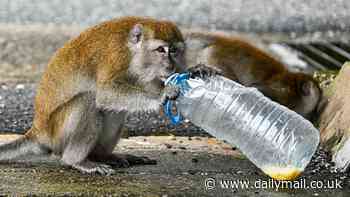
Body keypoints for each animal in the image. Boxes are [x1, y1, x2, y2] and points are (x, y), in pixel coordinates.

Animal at [0, 16, 217, 175]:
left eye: (174, 50)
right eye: (161, 50)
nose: (171, 65)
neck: (132, 49)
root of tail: (38, 131)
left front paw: (195, 70)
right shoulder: (116, 55)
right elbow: (105, 93)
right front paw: (164, 94)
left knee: (114, 111)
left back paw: (102, 155)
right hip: (57, 133)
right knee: (89, 101)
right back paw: (76, 161)